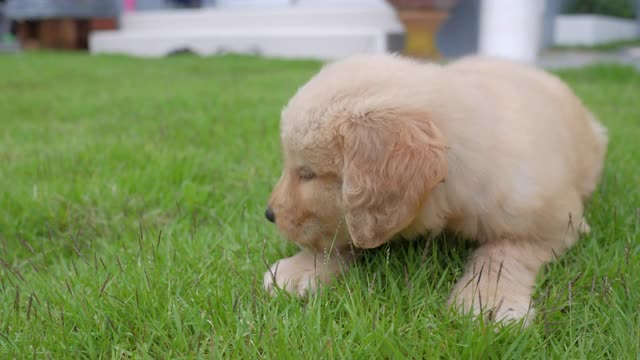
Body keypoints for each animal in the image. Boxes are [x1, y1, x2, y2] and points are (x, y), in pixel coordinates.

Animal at [262, 54, 608, 326]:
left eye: (307, 174)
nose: (269, 214)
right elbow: (341, 237)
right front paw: (300, 269)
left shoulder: (552, 223)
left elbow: (501, 254)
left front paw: (487, 302)